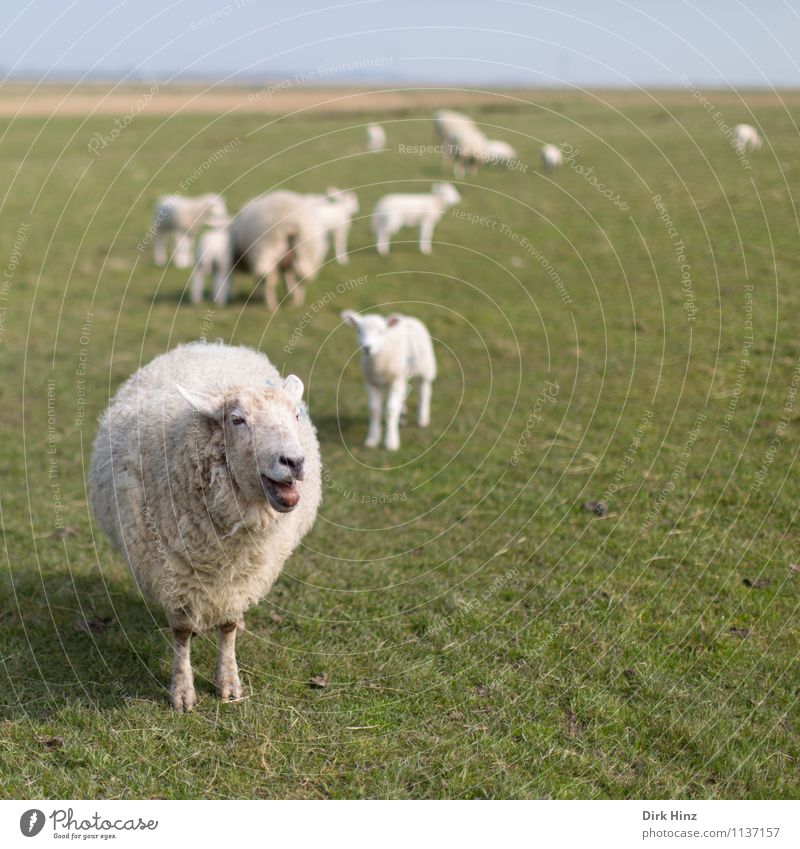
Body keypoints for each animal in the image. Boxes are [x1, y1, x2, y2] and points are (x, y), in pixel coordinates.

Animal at [89, 342, 320, 712]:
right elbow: (182, 632)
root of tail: (211, 344)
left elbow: (228, 626)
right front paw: (182, 691)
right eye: (237, 420)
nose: (294, 462)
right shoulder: (172, 570)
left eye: (296, 416)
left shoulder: (243, 576)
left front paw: (228, 682)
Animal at [340, 306, 434, 450]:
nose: (367, 348)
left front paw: (391, 442)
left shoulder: (395, 381)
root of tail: (407, 317)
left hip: (424, 367)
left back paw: (422, 419)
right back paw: (403, 416)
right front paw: (372, 440)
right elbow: (374, 410)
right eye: (359, 330)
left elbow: (390, 410)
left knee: (424, 392)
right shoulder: (371, 383)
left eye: (381, 332)